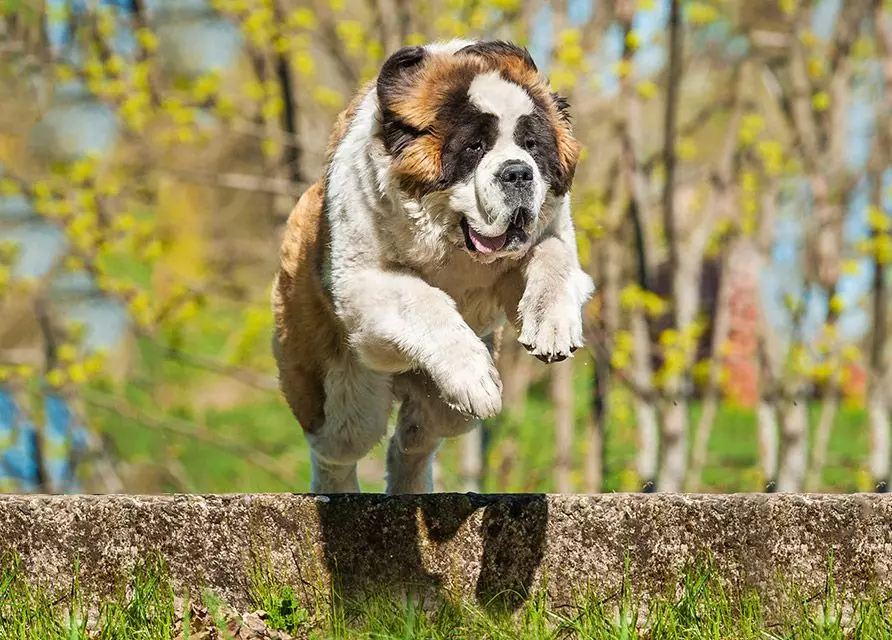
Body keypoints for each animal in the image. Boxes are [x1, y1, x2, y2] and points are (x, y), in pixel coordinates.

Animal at [270, 38, 592, 496]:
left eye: (532, 145)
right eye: (474, 147)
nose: (517, 173)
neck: (451, 242)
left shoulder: (543, 237)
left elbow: (552, 256)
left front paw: (552, 324)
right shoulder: (362, 283)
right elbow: (424, 301)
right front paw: (473, 375)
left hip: (445, 411)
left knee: (414, 438)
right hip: (343, 395)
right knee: (338, 449)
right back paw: (337, 495)